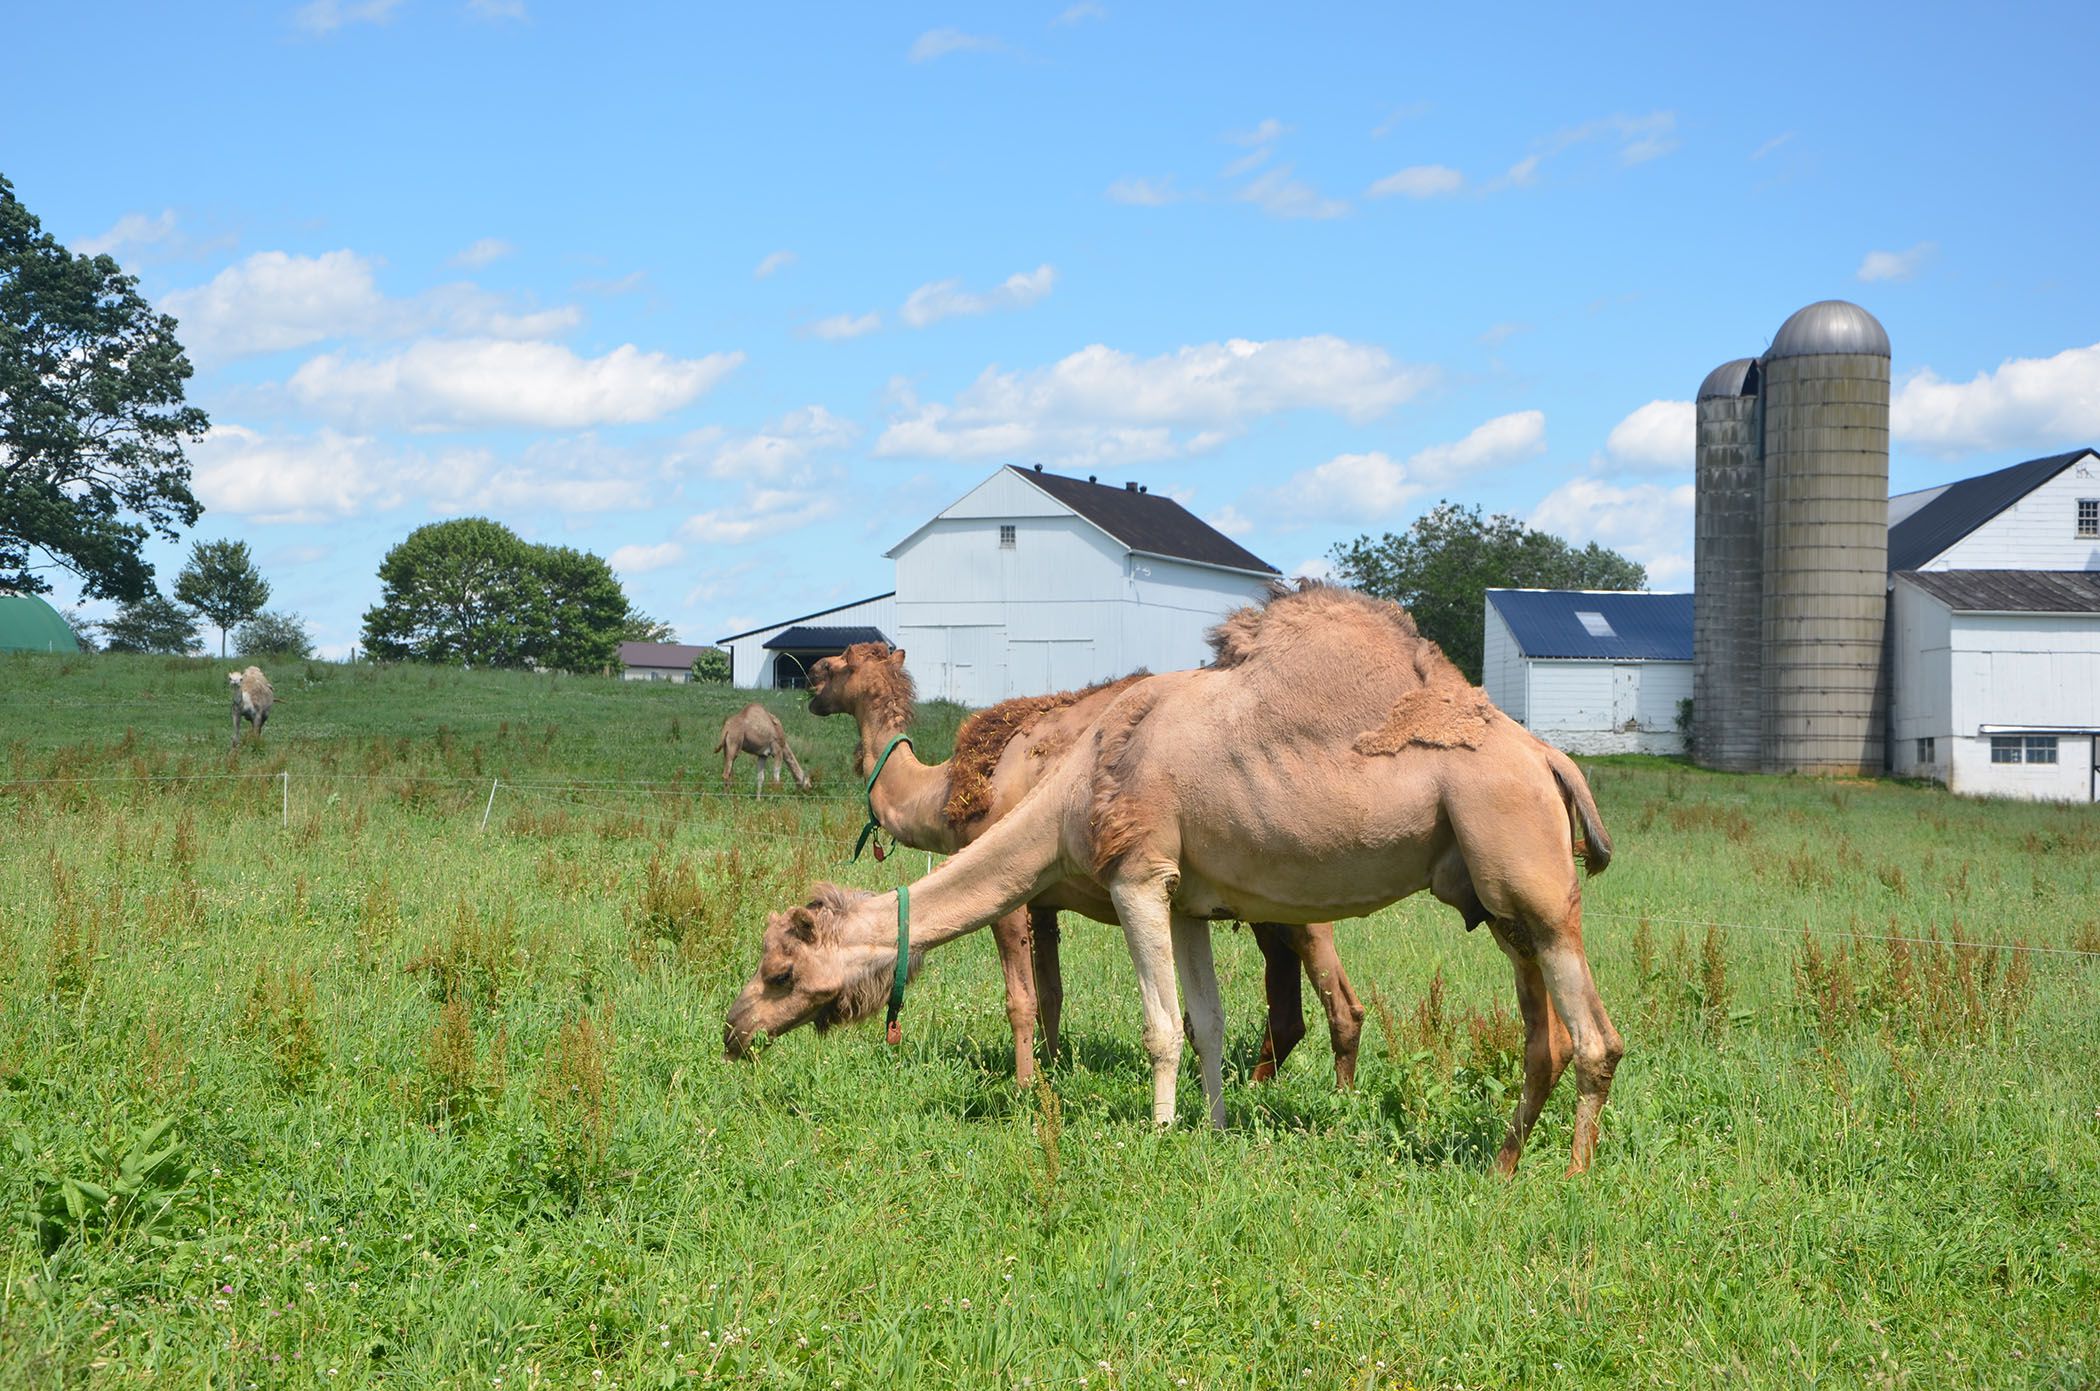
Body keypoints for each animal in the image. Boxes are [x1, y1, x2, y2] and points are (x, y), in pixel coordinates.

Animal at [797, 642, 1360, 1092]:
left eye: (842, 661)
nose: (810, 672)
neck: (940, 793)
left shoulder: (1007, 886)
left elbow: (1020, 999)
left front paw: (1024, 1088)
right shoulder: (1043, 901)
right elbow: (1051, 996)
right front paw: (1052, 1067)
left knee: (1342, 1003)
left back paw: (1340, 1101)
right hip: (1263, 903)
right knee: (1286, 1007)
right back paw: (1253, 1086)